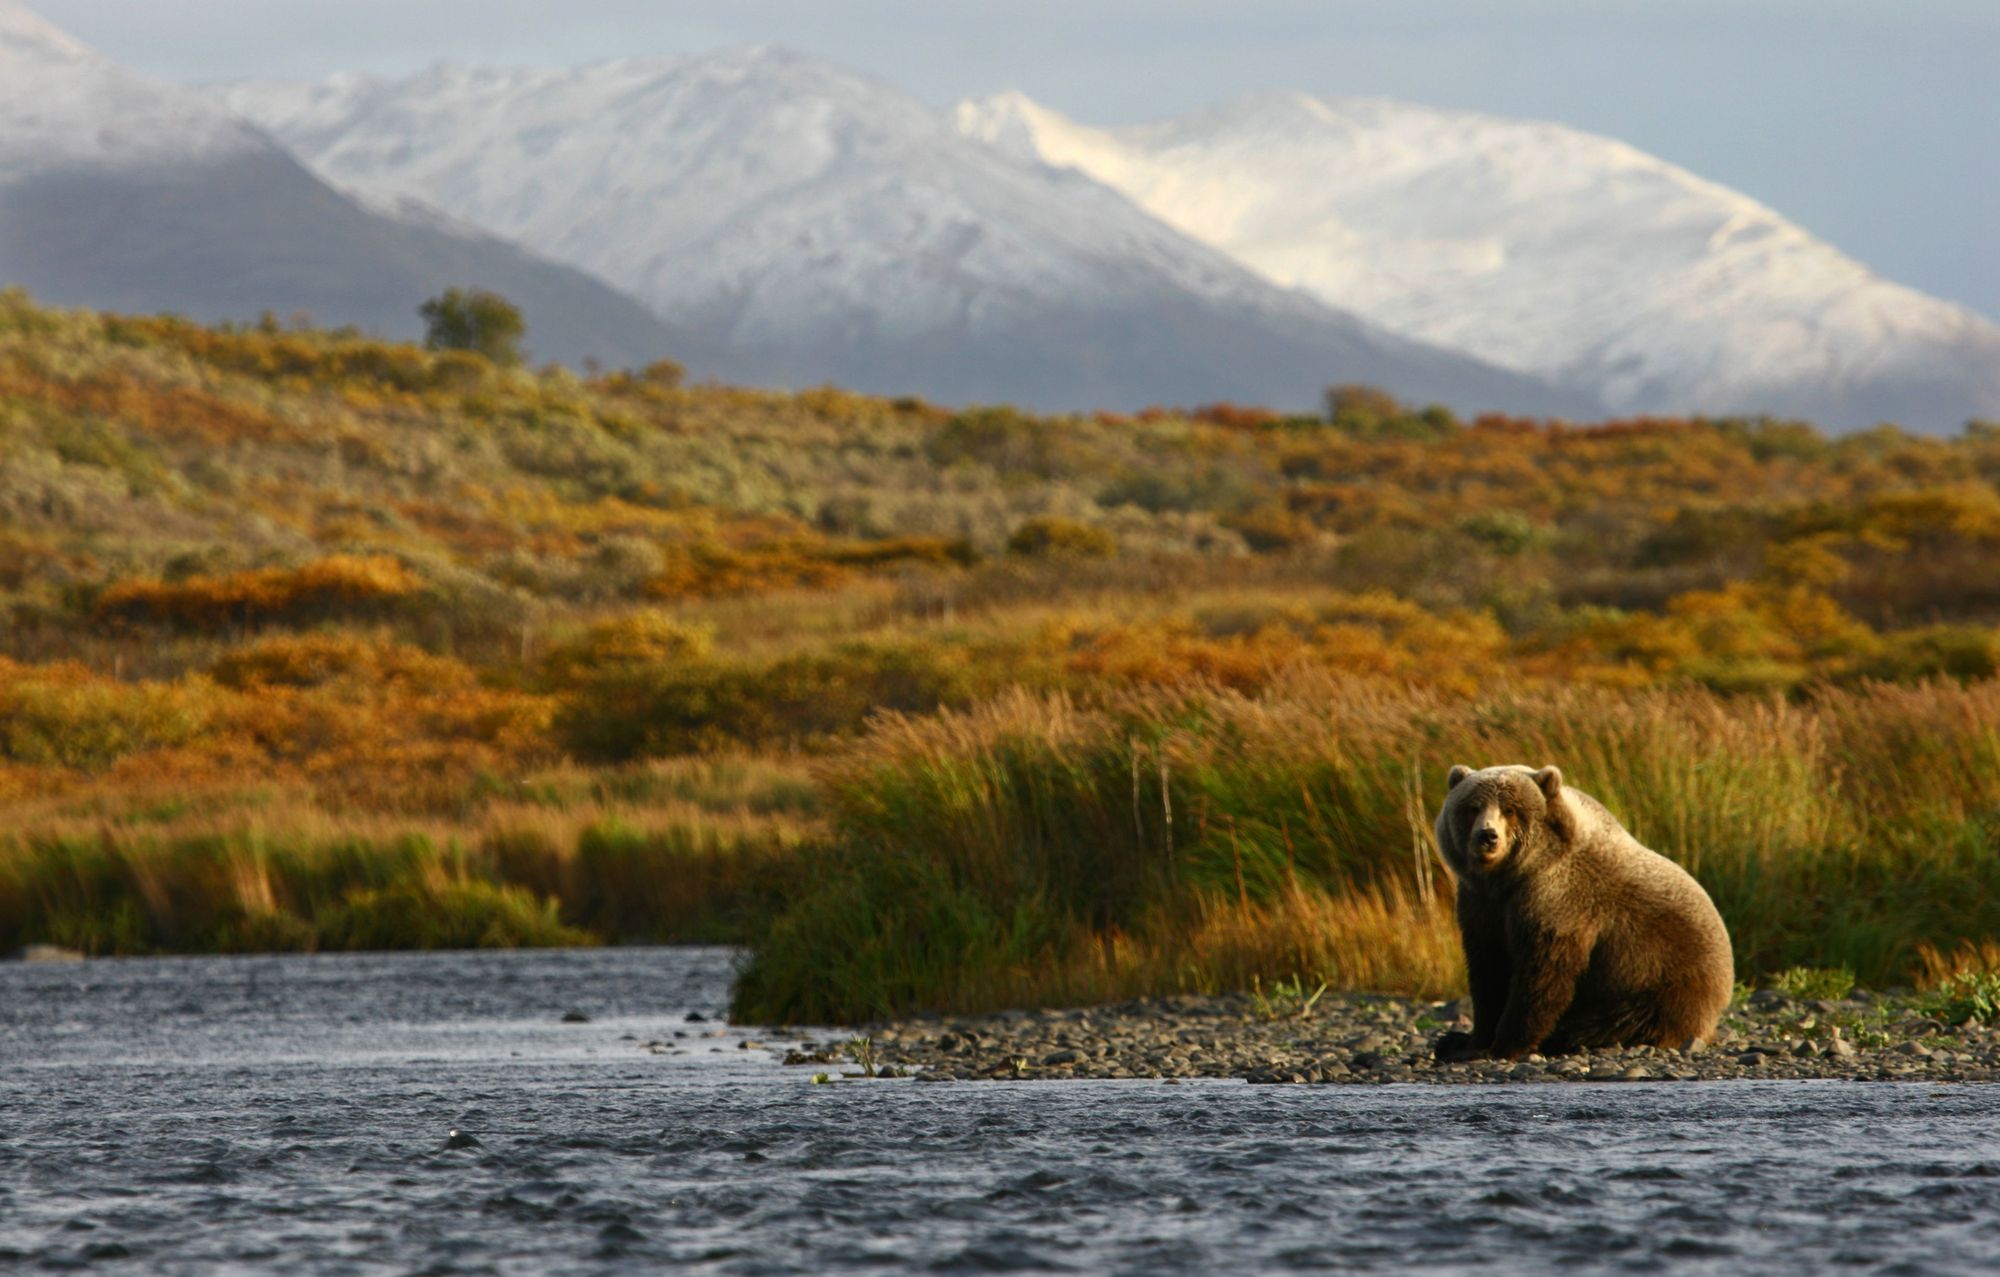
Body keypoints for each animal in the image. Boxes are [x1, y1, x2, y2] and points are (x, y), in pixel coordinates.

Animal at [1432, 764, 1728, 1064]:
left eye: (1510, 809)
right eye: (1472, 807)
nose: (1487, 836)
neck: (1509, 877)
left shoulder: (1558, 901)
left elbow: (1542, 975)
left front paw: (1503, 1045)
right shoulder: (1481, 904)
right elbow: (1488, 970)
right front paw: (1472, 1041)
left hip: (1662, 981)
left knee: (1618, 1021)